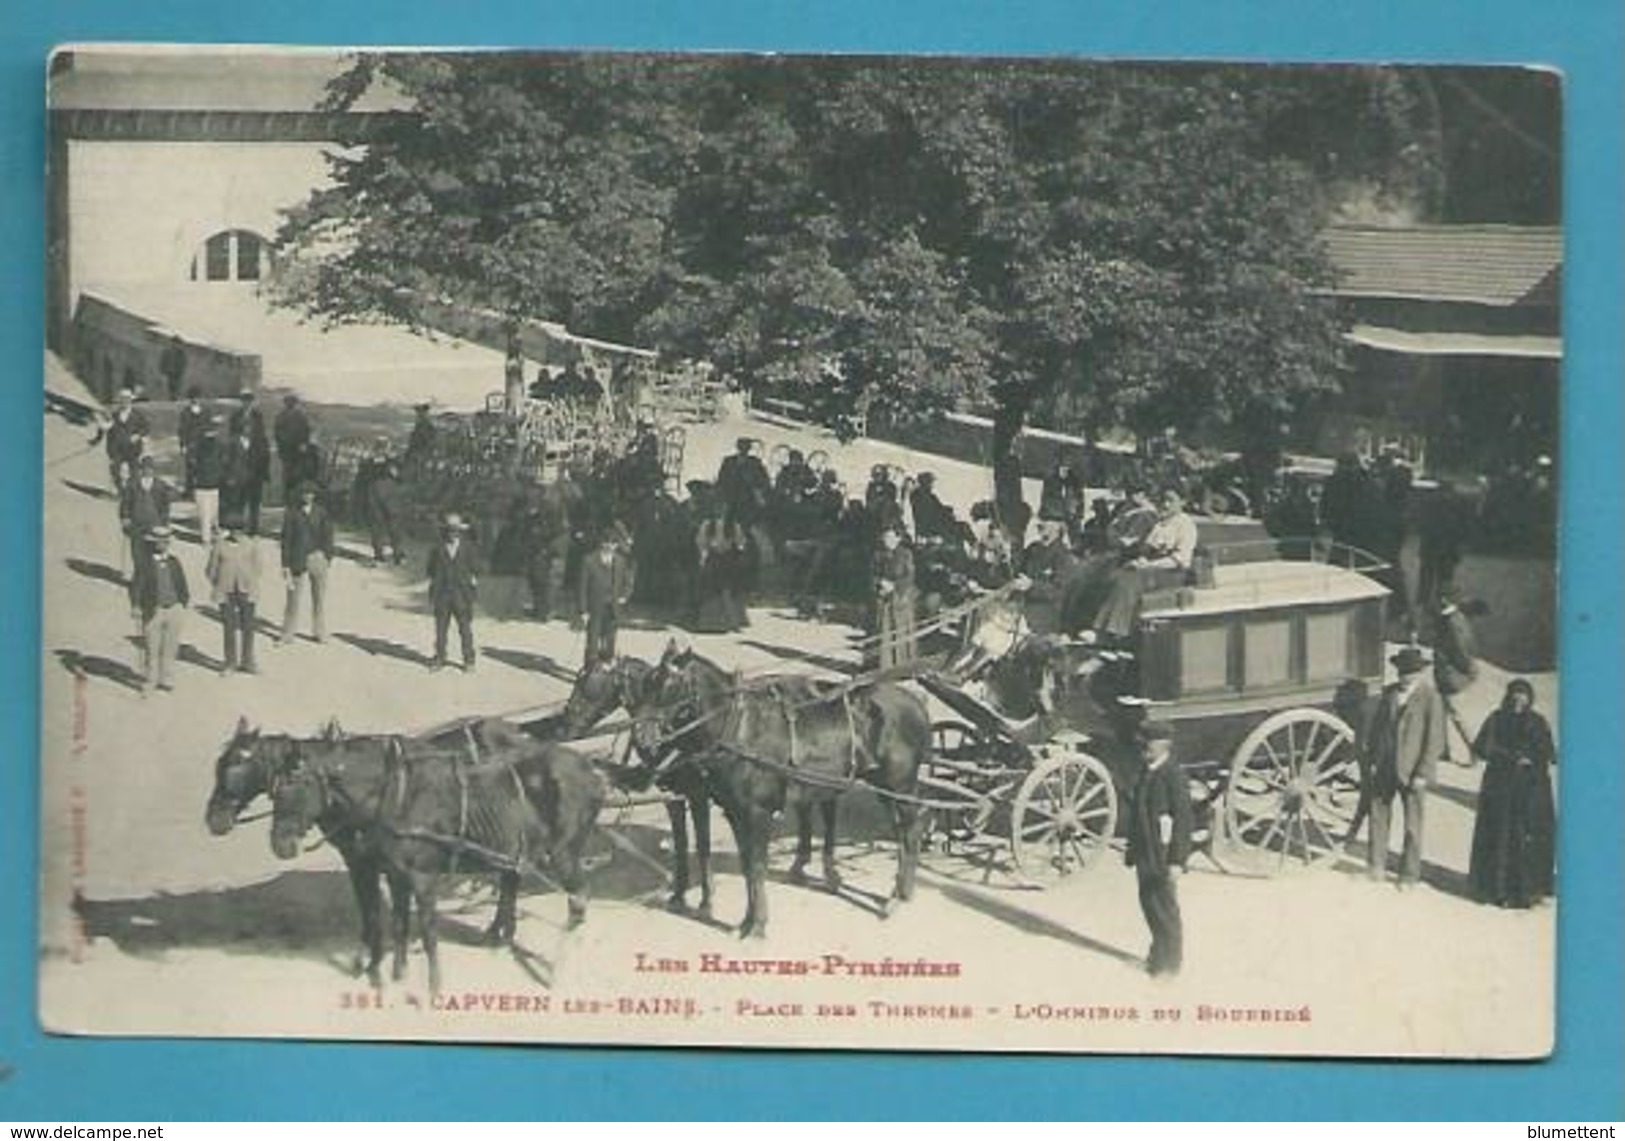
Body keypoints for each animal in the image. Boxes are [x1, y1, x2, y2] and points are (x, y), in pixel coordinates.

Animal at [562, 663, 715, 923]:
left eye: (589, 684)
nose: (568, 720)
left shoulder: (697, 795)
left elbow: (703, 846)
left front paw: (705, 901)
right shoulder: (673, 796)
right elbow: (682, 842)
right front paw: (678, 894)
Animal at [627, 643, 929, 936]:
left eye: (670, 684)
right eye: (647, 683)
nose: (641, 740)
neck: (740, 729)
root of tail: (917, 702)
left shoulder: (758, 812)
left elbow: (757, 866)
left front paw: (758, 924)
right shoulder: (734, 811)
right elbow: (747, 865)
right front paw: (746, 921)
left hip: (901, 785)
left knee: (911, 832)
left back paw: (900, 895)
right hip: (884, 788)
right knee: (900, 832)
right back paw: (894, 890)